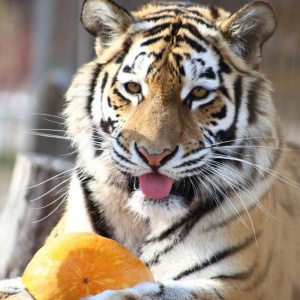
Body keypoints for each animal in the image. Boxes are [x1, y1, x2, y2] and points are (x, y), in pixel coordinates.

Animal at [0, 0, 300, 298]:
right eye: (134, 88)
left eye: (199, 93)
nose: (154, 155)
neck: (145, 221)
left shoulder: (237, 283)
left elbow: (155, 291)